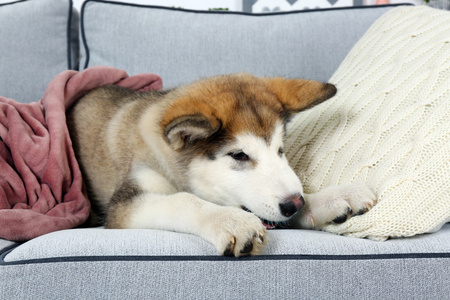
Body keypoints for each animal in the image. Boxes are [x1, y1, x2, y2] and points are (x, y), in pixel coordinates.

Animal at [67, 74, 376, 256]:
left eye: (280, 150)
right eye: (239, 155)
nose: (294, 204)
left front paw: (331, 197)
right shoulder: (124, 206)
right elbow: (183, 200)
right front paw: (229, 220)